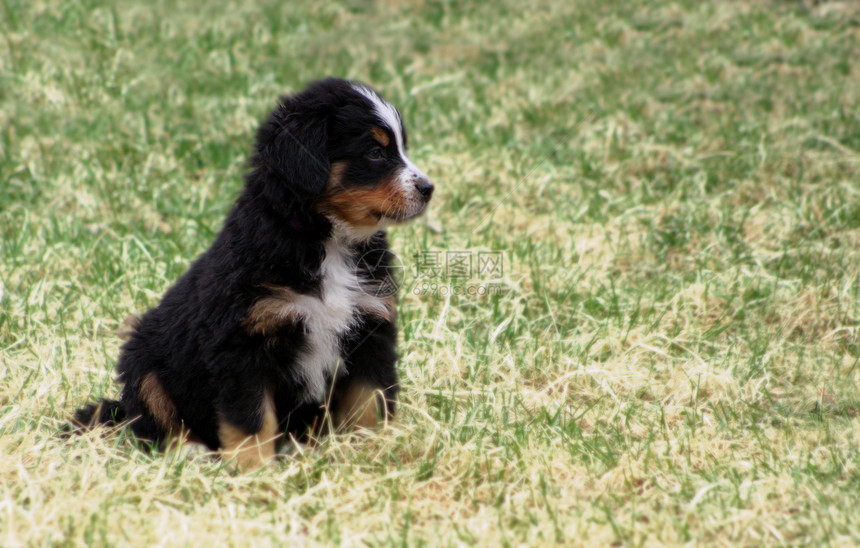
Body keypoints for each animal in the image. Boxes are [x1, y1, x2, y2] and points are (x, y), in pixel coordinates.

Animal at [72, 79, 436, 468]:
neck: (329, 242)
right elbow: (251, 416)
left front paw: (373, 450)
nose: (428, 189)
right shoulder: (242, 342)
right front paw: (253, 468)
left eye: (400, 148)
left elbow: (370, 401)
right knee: (152, 416)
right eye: (375, 152)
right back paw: (189, 451)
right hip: (143, 361)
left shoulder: (371, 327)